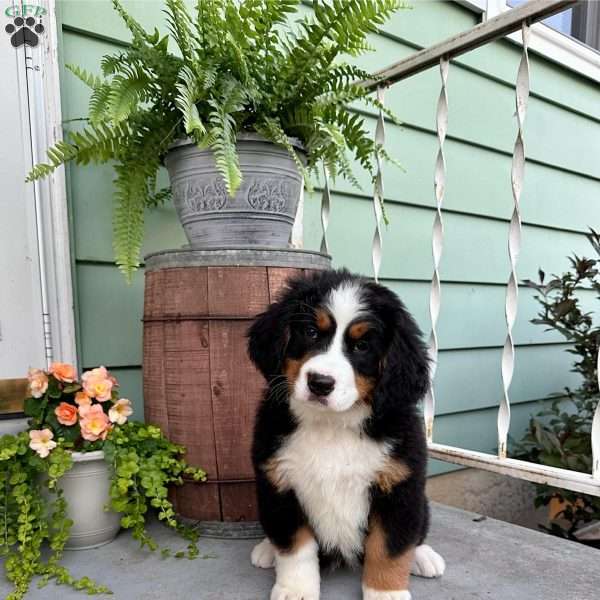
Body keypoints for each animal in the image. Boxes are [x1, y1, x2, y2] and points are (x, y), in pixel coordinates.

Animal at [246, 270, 442, 596]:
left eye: (362, 346)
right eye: (311, 332)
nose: (320, 383)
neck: (333, 425)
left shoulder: (399, 489)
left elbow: (390, 548)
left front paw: (386, 593)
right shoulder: (280, 485)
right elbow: (295, 547)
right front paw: (296, 590)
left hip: (420, 502)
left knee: (418, 532)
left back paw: (424, 557)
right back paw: (266, 549)